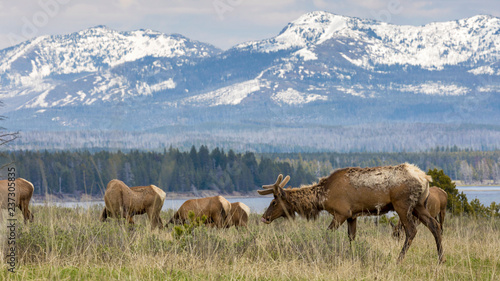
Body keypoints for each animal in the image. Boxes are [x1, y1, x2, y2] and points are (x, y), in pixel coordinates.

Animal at [258, 163, 446, 264]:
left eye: (274, 202)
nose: (264, 217)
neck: (322, 197)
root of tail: (425, 179)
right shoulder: (352, 215)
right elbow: (351, 238)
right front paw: (353, 256)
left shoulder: (341, 213)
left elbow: (327, 234)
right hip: (419, 206)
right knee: (435, 225)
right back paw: (441, 259)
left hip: (403, 205)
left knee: (411, 231)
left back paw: (398, 260)